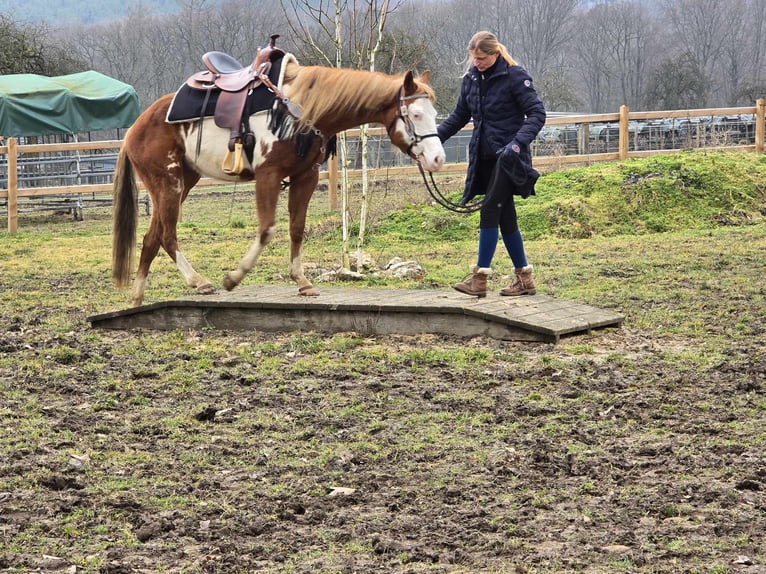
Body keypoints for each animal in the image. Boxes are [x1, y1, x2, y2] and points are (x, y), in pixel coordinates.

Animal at [115, 50, 450, 310]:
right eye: (416, 115)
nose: (437, 159)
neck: (301, 107)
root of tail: (134, 129)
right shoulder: (269, 175)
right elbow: (267, 230)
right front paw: (234, 278)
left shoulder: (306, 176)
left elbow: (297, 228)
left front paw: (302, 282)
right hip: (168, 184)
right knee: (167, 235)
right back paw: (199, 282)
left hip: (181, 183)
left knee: (152, 238)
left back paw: (137, 298)